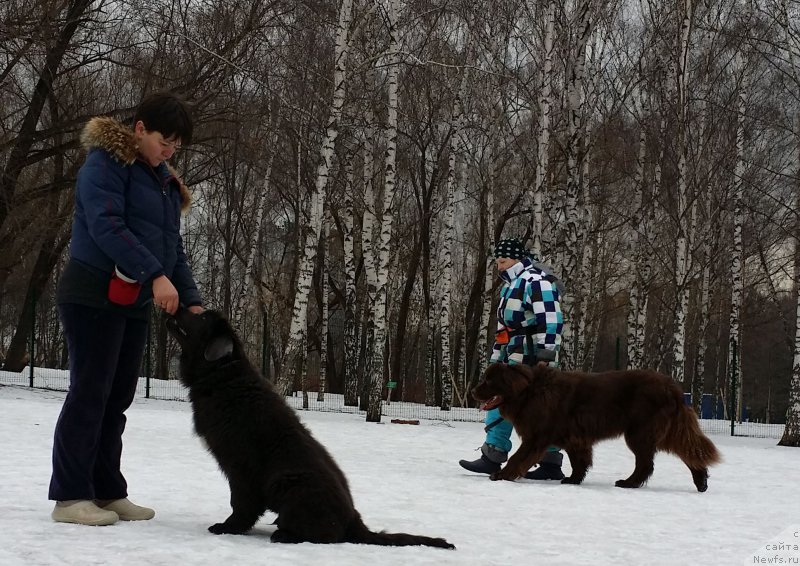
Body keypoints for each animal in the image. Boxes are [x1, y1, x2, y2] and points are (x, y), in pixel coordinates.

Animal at [166, 306, 454, 552]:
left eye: (202, 318)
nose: (176, 306)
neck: (224, 378)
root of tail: (354, 519)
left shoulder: (240, 465)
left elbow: (240, 502)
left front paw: (229, 527)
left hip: (290, 483)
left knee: (325, 535)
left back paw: (284, 535)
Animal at [472, 364, 720, 492]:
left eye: (489, 380)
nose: (472, 390)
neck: (529, 392)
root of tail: (674, 388)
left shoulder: (536, 437)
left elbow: (517, 457)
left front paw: (501, 475)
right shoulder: (574, 438)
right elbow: (578, 462)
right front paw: (573, 480)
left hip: (639, 433)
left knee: (646, 464)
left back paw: (628, 483)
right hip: (664, 431)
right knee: (689, 451)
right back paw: (701, 482)